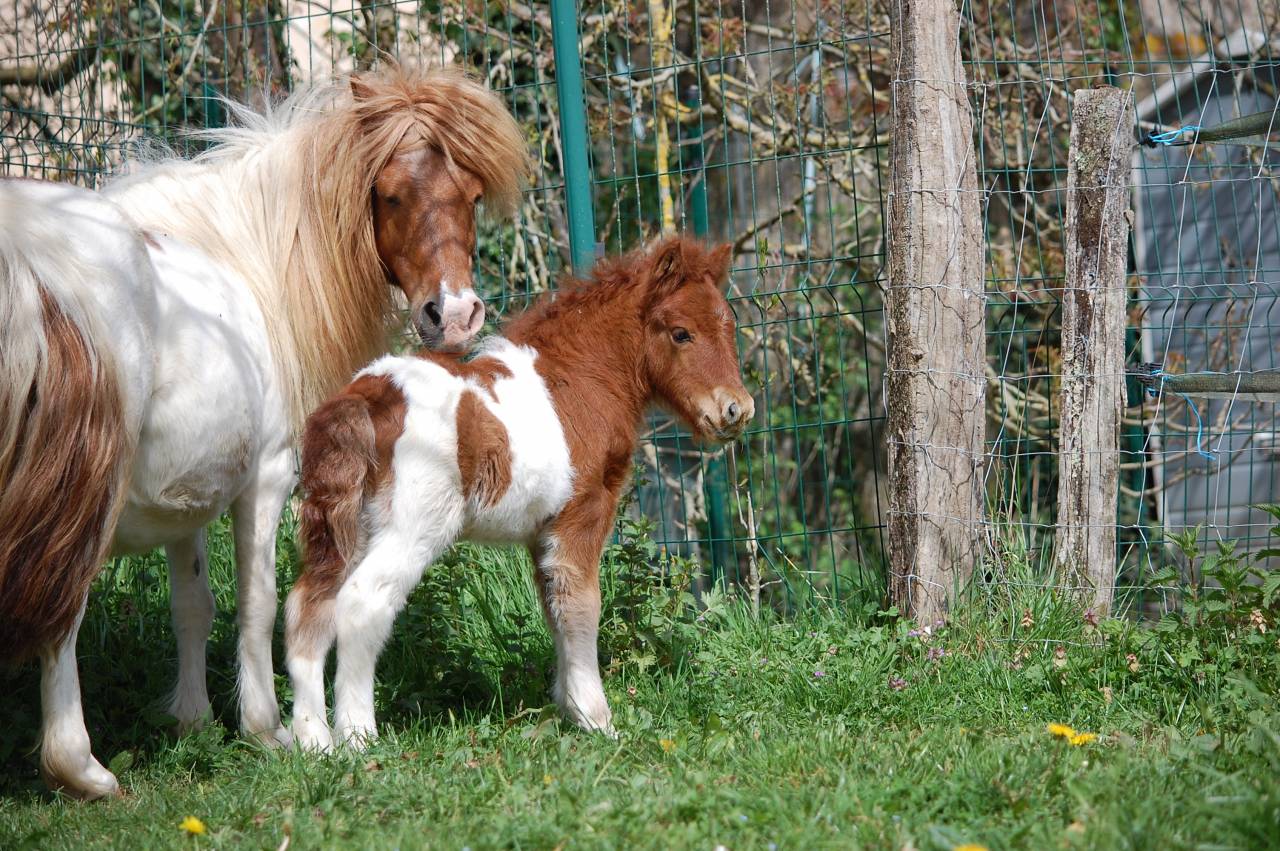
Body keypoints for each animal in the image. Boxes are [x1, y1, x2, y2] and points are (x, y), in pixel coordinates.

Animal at [0, 66, 529, 798]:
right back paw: (82, 767)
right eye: (390, 194)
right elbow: (259, 601)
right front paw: (267, 728)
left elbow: (193, 603)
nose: (453, 316)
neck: (244, 259)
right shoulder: (270, 475)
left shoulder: (187, 490)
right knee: (62, 610)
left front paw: (193, 721)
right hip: (84, 497)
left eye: (472, 195)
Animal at [283, 236, 753, 749]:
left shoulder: (541, 531)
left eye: (728, 325)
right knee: (361, 604)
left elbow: (555, 608)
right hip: (415, 526)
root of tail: (366, 397)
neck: (580, 378)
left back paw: (313, 741)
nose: (737, 409)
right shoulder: (583, 513)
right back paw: (357, 739)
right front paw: (598, 720)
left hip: (343, 526)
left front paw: (570, 710)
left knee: (308, 607)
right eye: (681, 333)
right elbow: (582, 605)